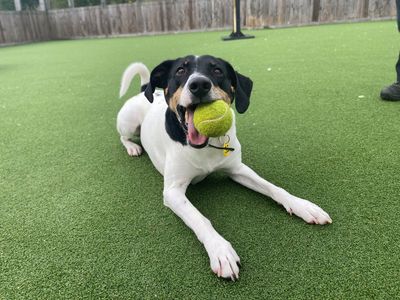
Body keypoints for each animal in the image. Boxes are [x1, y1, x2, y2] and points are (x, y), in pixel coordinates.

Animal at [115, 55, 332, 282]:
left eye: (217, 70)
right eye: (180, 70)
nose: (199, 84)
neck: (207, 146)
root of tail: (144, 91)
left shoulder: (238, 170)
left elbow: (273, 188)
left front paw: (302, 205)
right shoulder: (173, 191)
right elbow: (200, 219)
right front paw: (220, 250)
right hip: (128, 123)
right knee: (123, 136)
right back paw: (132, 147)